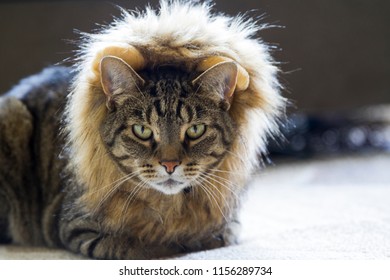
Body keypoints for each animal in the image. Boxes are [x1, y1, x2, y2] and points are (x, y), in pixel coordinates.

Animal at [0, 0, 286, 260]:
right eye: (142, 130)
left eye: (195, 130)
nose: (170, 165)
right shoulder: (77, 228)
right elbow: (137, 248)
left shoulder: (230, 223)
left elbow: (221, 234)